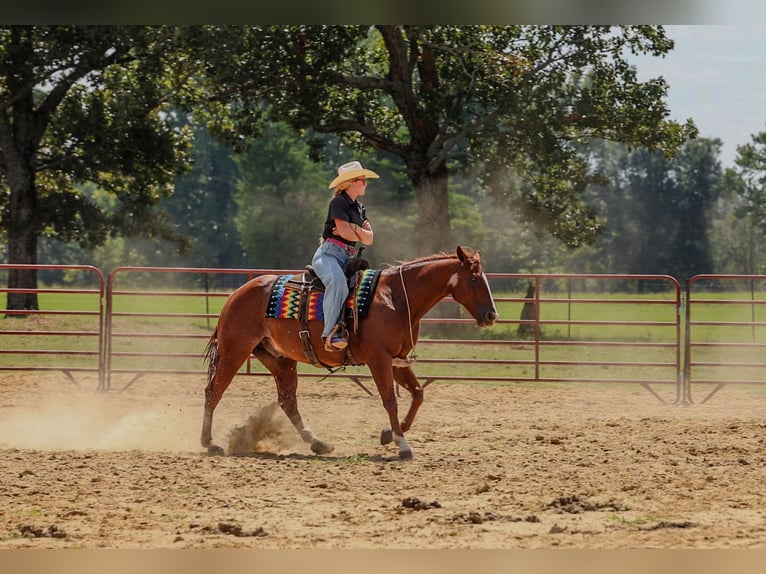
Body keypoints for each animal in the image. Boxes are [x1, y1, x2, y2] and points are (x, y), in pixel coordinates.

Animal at [201, 245, 498, 460]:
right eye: (475, 278)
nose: (492, 315)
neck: (397, 298)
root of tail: (236, 295)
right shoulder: (379, 359)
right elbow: (390, 400)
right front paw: (402, 444)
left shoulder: (396, 360)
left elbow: (417, 394)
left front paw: (389, 434)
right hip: (234, 350)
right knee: (214, 391)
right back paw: (209, 443)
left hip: (280, 360)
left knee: (288, 401)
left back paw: (318, 443)